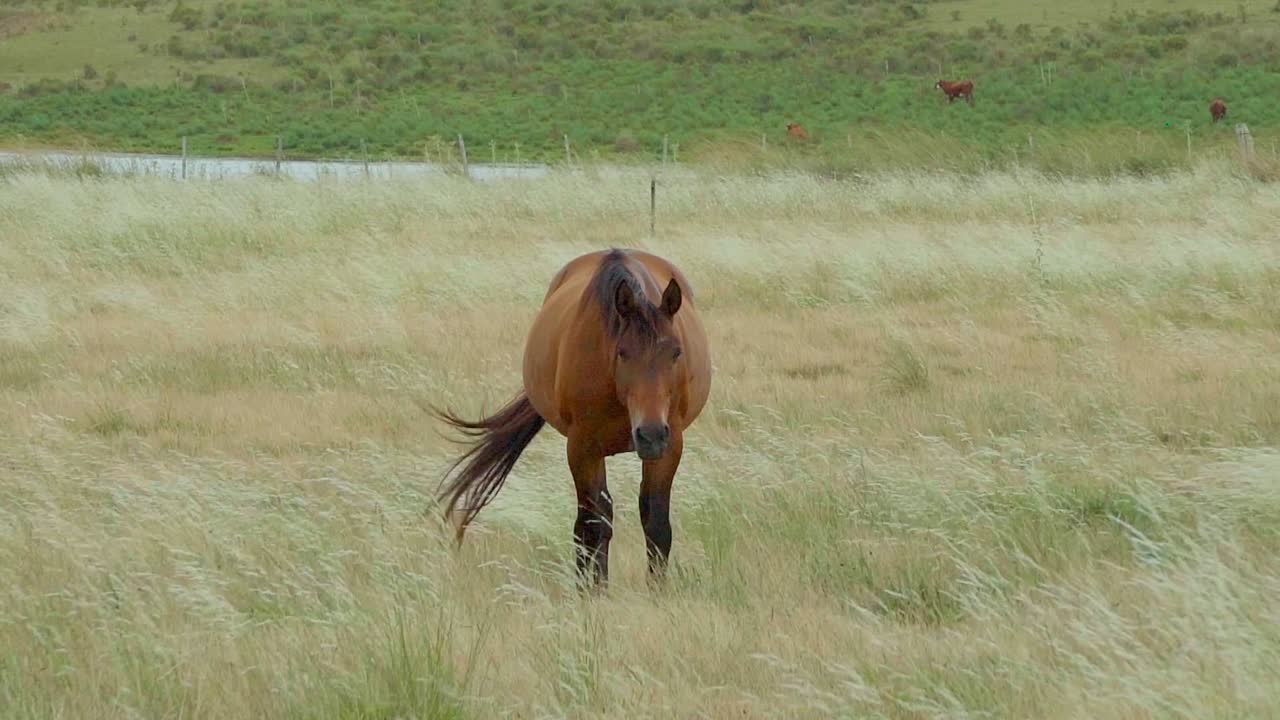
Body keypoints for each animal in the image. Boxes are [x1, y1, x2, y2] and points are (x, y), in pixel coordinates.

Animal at [435, 249, 713, 588]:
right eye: (622, 352)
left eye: (676, 352)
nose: (649, 435)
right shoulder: (583, 447)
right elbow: (593, 523)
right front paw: (594, 591)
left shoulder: (670, 445)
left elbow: (656, 522)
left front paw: (656, 591)